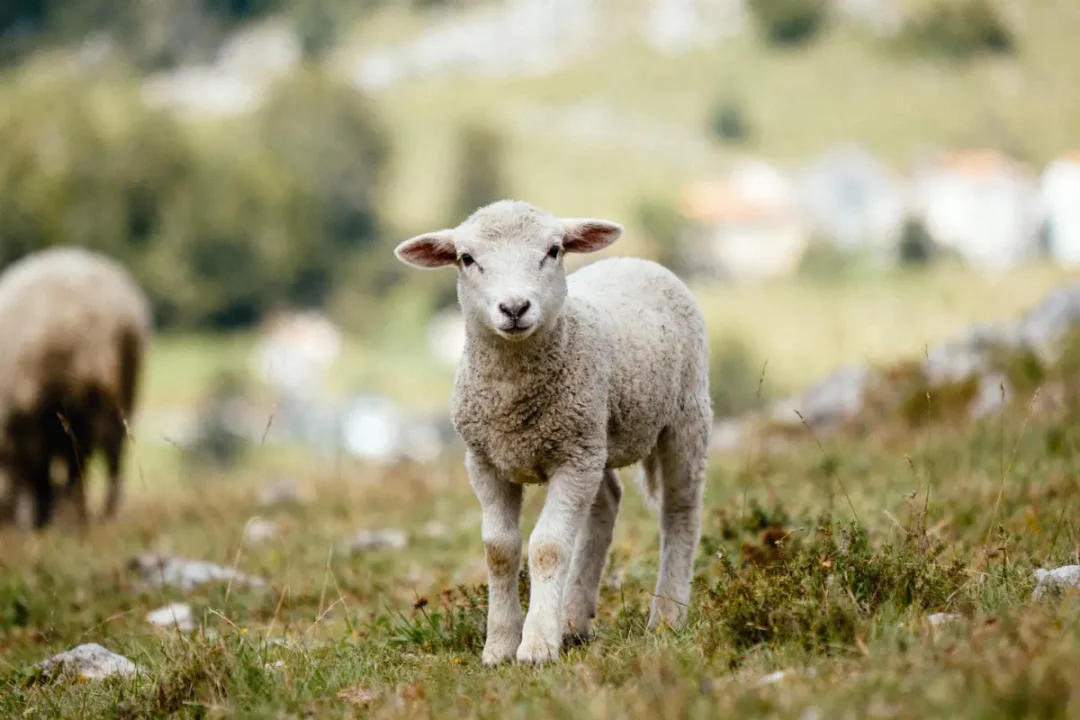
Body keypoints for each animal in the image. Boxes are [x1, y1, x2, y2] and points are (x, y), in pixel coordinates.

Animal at [0, 247, 152, 530]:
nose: (6, 521)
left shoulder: (31, 415)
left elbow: (39, 471)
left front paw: (45, 517)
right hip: (122, 389)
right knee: (112, 450)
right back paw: (94, 512)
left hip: (92, 392)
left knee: (87, 455)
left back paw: (89, 514)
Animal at [395, 200, 712, 666]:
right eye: (467, 259)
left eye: (554, 250)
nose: (514, 308)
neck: (512, 395)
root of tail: (636, 261)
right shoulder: (486, 461)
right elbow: (499, 550)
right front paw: (500, 645)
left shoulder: (572, 458)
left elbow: (547, 547)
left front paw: (537, 646)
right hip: (595, 436)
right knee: (605, 505)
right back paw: (574, 619)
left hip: (683, 417)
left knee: (680, 510)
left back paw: (667, 615)